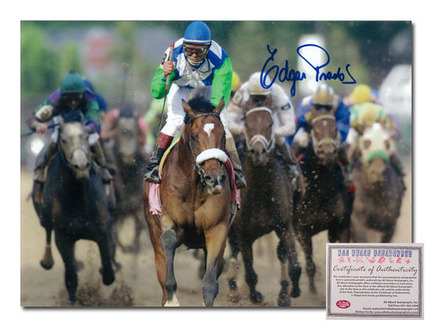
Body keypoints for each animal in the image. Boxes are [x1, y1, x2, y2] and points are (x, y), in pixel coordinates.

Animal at [30, 111, 115, 304]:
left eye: (85, 136)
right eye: (63, 140)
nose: (81, 166)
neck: (78, 198)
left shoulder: (103, 229)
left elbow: (108, 272)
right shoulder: (63, 236)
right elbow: (71, 276)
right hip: (45, 218)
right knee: (47, 229)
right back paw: (47, 260)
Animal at [143, 93, 235, 308]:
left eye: (223, 136)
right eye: (194, 137)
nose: (214, 179)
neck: (194, 186)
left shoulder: (217, 229)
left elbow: (210, 283)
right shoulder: (167, 219)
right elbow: (168, 241)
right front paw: (172, 299)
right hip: (153, 234)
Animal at [224, 99, 302, 308]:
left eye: (270, 124)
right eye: (247, 124)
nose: (258, 152)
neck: (260, 192)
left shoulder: (285, 225)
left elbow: (293, 264)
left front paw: (291, 292)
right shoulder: (244, 233)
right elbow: (249, 270)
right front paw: (254, 295)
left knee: (281, 253)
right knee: (233, 250)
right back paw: (233, 289)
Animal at [294, 107, 352, 294]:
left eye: (335, 129)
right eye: (315, 129)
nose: (327, 151)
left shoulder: (339, 225)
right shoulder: (302, 230)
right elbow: (310, 265)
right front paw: (312, 293)